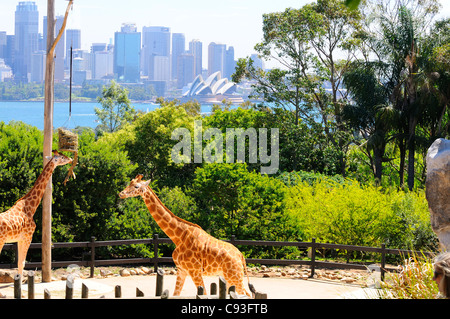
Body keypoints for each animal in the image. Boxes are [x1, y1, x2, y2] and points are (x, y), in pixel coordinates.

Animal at [118, 175, 256, 298]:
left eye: (136, 186)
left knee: (245, 294)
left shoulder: (194, 271)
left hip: (234, 275)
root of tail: (241, 256)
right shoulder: (181, 270)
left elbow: (204, 294)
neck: (178, 237)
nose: (121, 193)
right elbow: (175, 294)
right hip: (229, 276)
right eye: (129, 182)